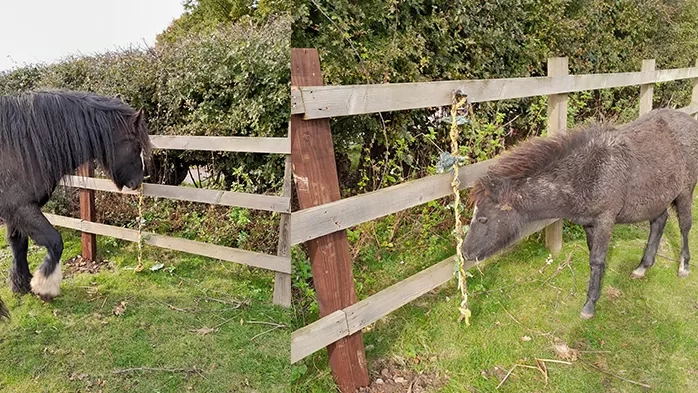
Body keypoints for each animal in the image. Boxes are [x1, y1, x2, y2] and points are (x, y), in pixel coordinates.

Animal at [0, 89, 152, 318]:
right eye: (136, 145)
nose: (138, 181)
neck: (20, 147)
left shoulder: (16, 211)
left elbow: (18, 245)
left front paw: (22, 284)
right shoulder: (21, 208)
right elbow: (54, 241)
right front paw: (44, 287)